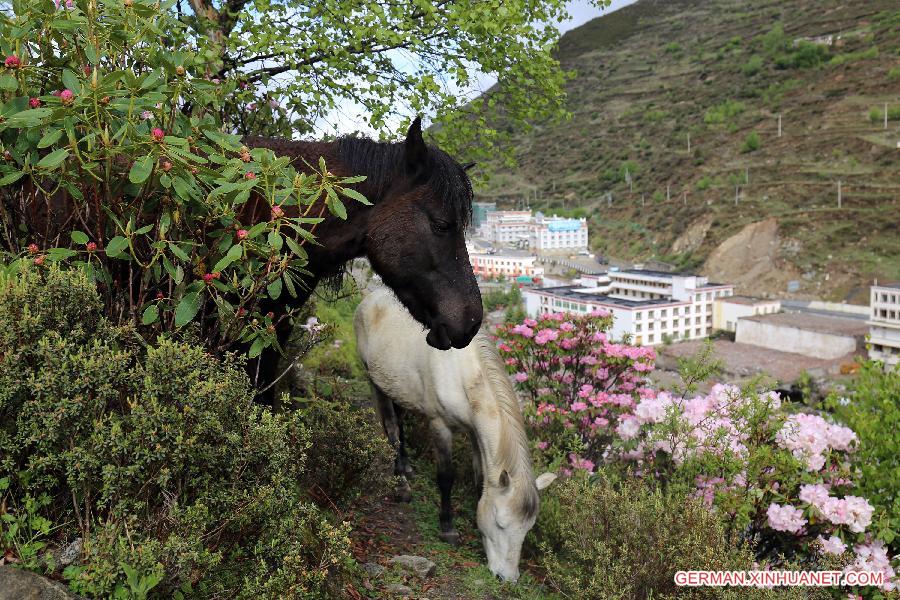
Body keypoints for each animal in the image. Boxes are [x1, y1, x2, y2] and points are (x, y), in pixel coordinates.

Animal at [354, 288, 556, 584]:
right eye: (500, 524)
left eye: (527, 529)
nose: (507, 578)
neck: (463, 373)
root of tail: (373, 296)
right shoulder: (440, 426)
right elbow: (446, 477)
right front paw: (447, 528)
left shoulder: (475, 432)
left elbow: (480, 477)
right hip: (374, 381)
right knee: (391, 429)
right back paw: (401, 484)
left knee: (400, 423)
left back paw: (407, 466)